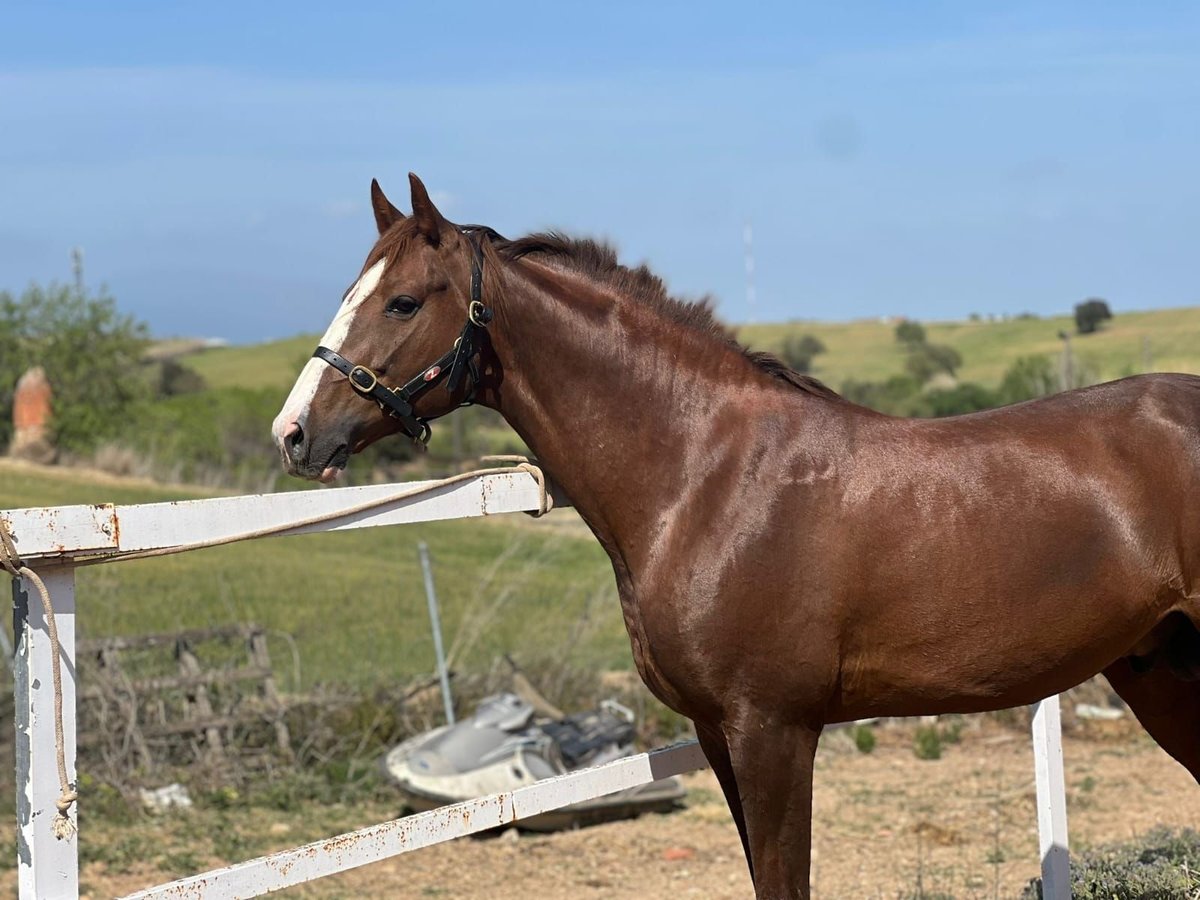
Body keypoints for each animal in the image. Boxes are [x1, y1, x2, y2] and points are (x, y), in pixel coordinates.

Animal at [272, 172, 1200, 897]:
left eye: (401, 301)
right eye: (350, 293)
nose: (295, 434)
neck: (705, 479)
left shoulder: (774, 731)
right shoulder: (721, 735)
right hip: (1158, 670)